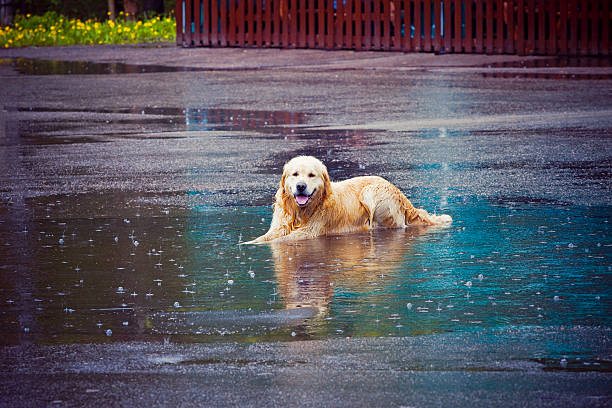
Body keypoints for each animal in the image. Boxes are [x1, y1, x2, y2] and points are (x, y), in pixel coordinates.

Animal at [244, 156, 450, 244]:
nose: (301, 186)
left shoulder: (311, 231)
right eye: (294, 174)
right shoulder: (280, 226)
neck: (302, 211)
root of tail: (399, 191)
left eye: (311, 175)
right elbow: (267, 236)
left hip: (371, 192)